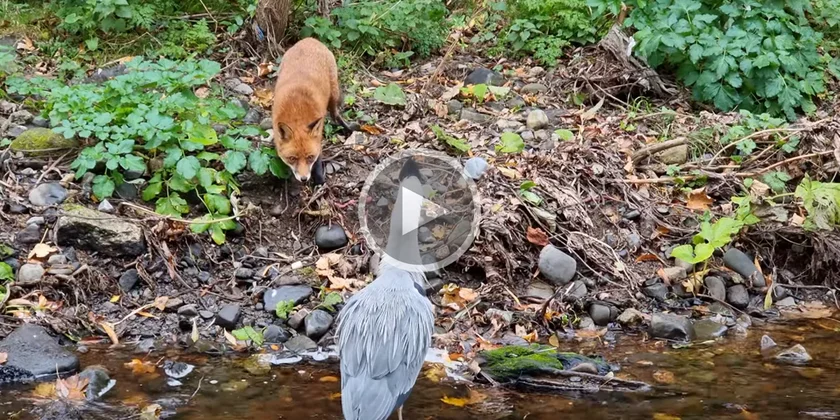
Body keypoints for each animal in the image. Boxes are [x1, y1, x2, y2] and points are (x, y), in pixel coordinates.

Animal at [271, 37, 358, 185]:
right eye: (292, 158)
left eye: (310, 157)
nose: (304, 179)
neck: (297, 112)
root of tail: (309, 39)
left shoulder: (318, 137)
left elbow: (318, 160)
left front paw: (319, 180)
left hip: (333, 95)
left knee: (336, 115)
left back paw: (347, 128)